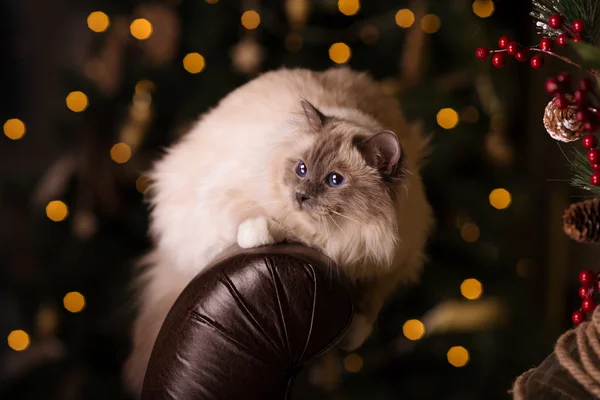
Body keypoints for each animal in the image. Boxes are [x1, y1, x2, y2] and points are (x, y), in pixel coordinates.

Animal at [123, 67, 432, 396]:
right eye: (301, 169)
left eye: (335, 180)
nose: (300, 196)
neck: (344, 235)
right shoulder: (229, 199)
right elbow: (260, 222)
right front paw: (261, 232)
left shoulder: (392, 260)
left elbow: (370, 302)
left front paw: (351, 336)